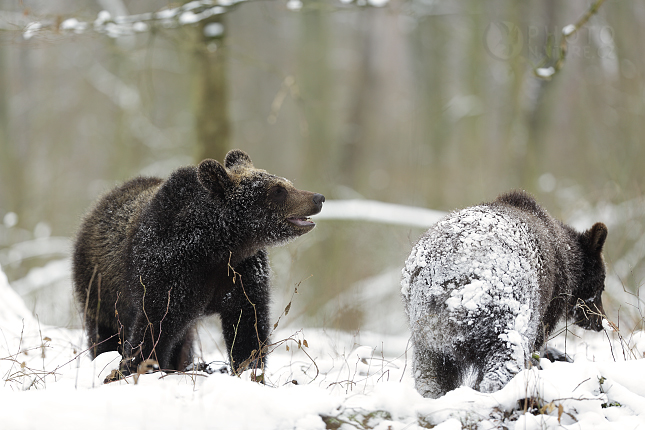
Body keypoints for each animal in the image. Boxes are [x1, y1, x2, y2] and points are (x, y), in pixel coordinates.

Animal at [73, 149, 324, 378]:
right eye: (278, 190)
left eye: (286, 183)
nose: (318, 198)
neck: (216, 247)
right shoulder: (168, 272)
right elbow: (154, 327)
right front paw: (134, 367)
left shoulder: (242, 274)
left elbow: (247, 326)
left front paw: (250, 369)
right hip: (101, 289)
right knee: (104, 331)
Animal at [400, 191, 608, 400]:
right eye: (601, 286)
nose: (600, 322)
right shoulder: (546, 306)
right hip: (499, 308)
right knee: (506, 355)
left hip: (427, 332)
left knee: (431, 374)